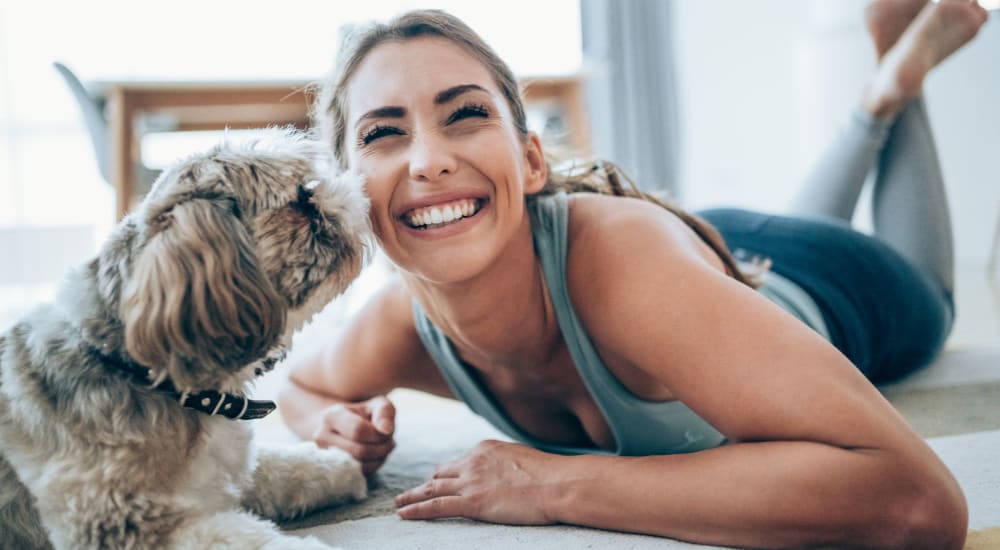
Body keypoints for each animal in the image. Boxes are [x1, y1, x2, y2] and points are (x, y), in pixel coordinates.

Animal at [0, 130, 372, 550]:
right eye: (301, 198)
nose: (351, 191)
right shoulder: (128, 525)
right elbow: (254, 539)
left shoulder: (228, 471)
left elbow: (281, 466)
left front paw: (339, 466)